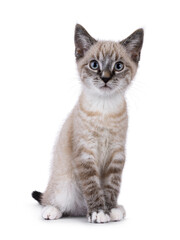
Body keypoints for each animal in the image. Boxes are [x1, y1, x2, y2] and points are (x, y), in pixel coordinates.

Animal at [31, 23, 143, 223]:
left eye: (119, 66)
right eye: (94, 64)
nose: (105, 77)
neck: (105, 109)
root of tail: (78, 210)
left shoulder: (116, 154)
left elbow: (111, 186)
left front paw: (110, 209)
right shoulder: (85, 153)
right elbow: (92, 187)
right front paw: (98, 212)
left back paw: (115, 208)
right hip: (64, 185)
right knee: (50, 199)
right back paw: (52, 210)